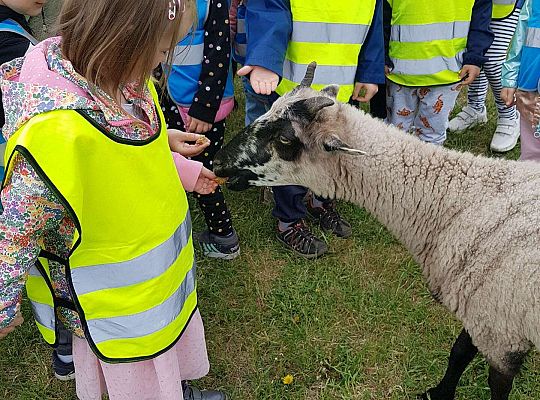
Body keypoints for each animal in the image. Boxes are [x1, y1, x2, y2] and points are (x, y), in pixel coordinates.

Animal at [214, 63, 540, 400]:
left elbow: (493, 382)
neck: (459, 201)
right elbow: (459, 352)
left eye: (285, 138)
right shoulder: (485, 315)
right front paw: (437, 393)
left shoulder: (500, 326)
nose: (217, 162)